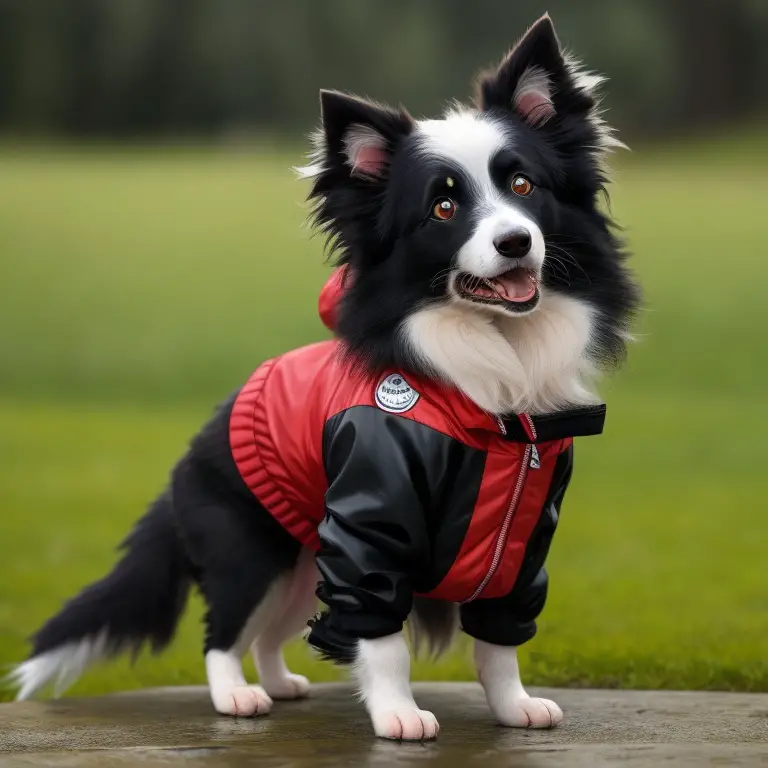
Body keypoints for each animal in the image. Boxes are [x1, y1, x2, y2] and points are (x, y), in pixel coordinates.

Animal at [9, 15, 640, 740]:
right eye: (442, 209)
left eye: (525, 187)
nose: (516, 242)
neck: (489, 387)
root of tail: (187, 459)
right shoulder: (368, 536)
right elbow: (381, 640)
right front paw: (398, 714)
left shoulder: (525, 539)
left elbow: (498, 640)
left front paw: (513, 707)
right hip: (251, 554)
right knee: (222, 631)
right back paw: (237, 695)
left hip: (303, 562)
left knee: (267, 633)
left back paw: (280, 684)